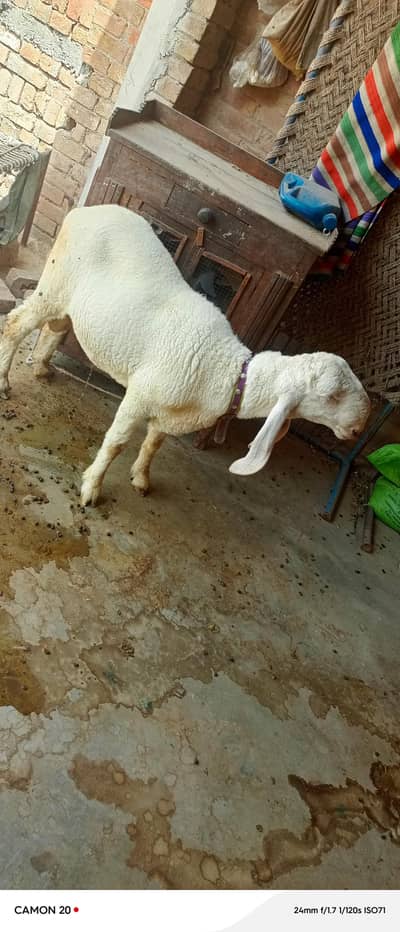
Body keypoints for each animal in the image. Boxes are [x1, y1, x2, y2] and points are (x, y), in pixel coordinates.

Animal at [0, 204, 370, 506]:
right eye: (332, 396)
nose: (360, 426)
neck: (226, 370)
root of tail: (85, 211)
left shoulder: (170, 413)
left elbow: (153, 445)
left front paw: (141, 478)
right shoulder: (140, 395)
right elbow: (117, 443)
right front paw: (92, 487)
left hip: (71, 301)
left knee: (56, 328)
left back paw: (42, 367)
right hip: (55, 283)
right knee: (16, 325)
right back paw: (5, 381)